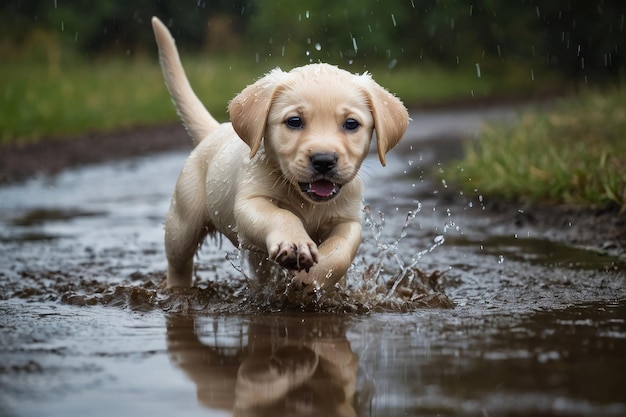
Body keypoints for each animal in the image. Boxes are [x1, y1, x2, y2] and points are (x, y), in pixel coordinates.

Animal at [149, 15, 408, 290]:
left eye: (351, 124)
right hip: (182, 224)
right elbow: (280, 215)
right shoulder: (250, 203)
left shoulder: (348, 219)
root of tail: (216, 129)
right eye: (294, 121)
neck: (306, 201)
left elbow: (341, 249)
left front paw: (313, 276)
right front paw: (294, 243)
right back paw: (177, 288)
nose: (324, 160)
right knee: (178, 262)